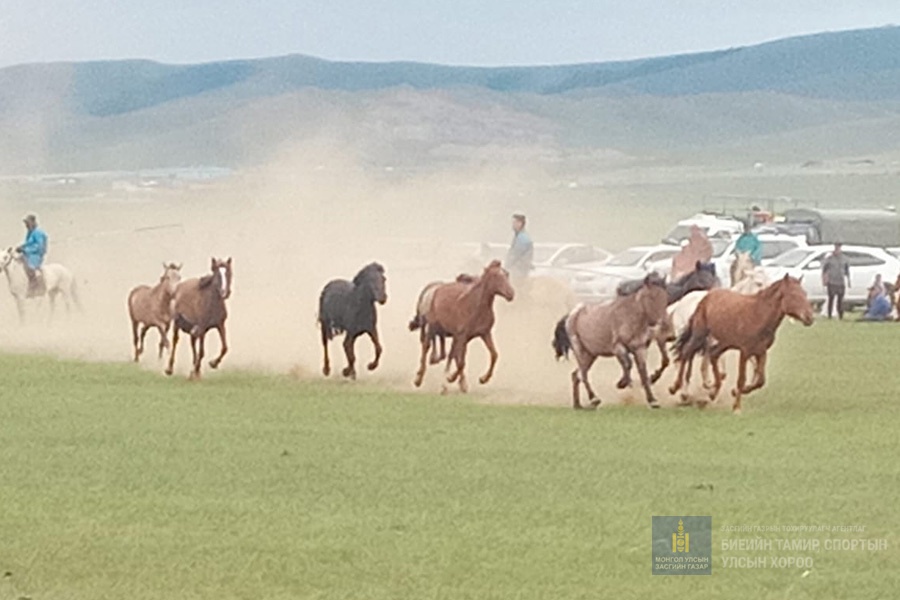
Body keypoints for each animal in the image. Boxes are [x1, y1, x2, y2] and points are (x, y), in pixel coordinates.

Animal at [414, 258, 512, 392]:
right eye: (496, 276)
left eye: (507, 274)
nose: (511, 294)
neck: (475, 307)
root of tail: (434, 289)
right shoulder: (462, 335)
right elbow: (461, 362)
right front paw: (450, 379)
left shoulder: (484, 333)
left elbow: (494, 355)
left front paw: (483, 379)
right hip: (433, 328)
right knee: (426, 346)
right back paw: (419, 379)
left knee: (452, 354)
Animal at [548, 274, 668, 410]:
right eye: (651, 297)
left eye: (665, 297)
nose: (663, 323)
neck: (629, 317)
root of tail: (571, 314)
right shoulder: (618, 348)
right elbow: (628, 364)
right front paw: (622, 383)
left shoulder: (640, 348)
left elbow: (643, 372)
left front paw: (653, 400)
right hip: (580, 351)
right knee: (582, 374)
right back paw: (594, 399)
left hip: (590, 355)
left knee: (576, 375)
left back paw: (578, 404)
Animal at [668, 276, 816, 412]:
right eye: (793, 295)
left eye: (804, 293)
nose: (809, 318)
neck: (758, 314)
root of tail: (706, 297)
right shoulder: (745, 351)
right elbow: (741, 379)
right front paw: (736, 407)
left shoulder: (761, 351)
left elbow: (760, 381)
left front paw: (734, 392)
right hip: (699, 334)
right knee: (686, 352)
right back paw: (675, 388)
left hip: (724, 342)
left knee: (713, 356)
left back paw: (711, 393)